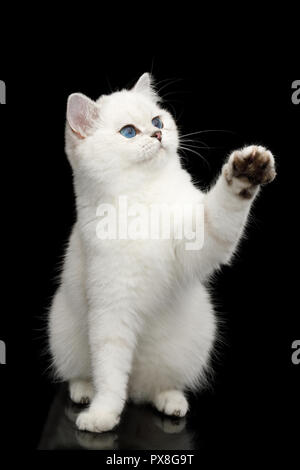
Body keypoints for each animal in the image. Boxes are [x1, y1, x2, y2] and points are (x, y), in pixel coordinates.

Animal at [48, 73, 276, 434]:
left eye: (157, 121)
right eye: (129, 132)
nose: (157, 134)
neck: (145, 195)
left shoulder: (199, 241)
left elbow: (224, 209)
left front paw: (246, 172)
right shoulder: (112, 310)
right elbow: (110, 377)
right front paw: (101, 417)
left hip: (195, 339)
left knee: (158, 388)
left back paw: (172, 404)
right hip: (62, 332)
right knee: (90, 377)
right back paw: (84, 393)